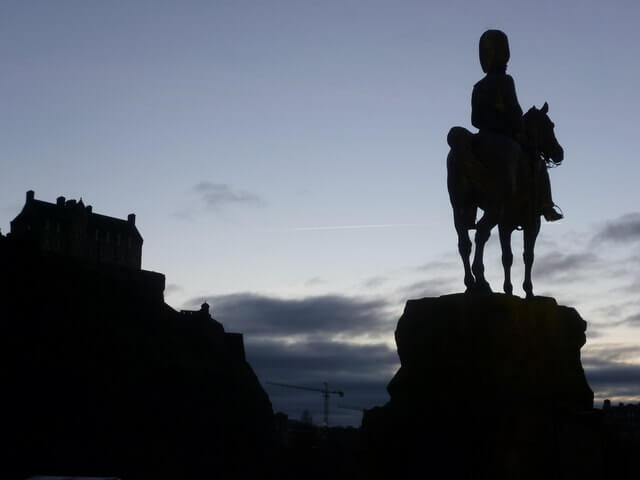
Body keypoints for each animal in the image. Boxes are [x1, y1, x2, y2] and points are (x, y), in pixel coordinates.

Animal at [448, 102, 564, 296]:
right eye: (550, 125)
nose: (559, 152)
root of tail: (473, 140)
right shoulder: (533, 223)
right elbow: (528, 256)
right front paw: (528, 291)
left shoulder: (505, 224)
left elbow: (507, 258)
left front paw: (509, 291)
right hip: (494, 207)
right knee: (481, 233)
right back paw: (481, 281)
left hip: (460, 207)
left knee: (464, 242)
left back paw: (470, 284)